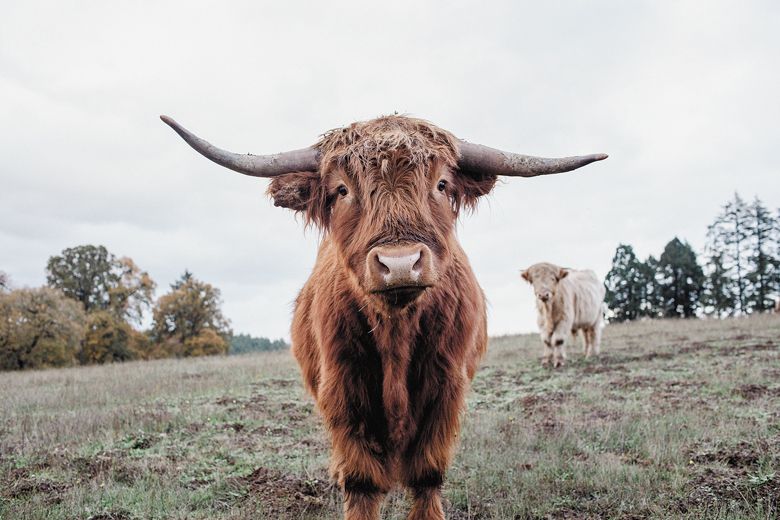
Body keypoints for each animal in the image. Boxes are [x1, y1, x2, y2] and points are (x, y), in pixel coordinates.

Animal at [161, 115, 608, 520]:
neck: (397, 332)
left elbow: (427, 476)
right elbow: (361, 482)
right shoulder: (343, 391)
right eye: (341, 189)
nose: (400, 264)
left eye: (441, 184)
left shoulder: (445, 389)